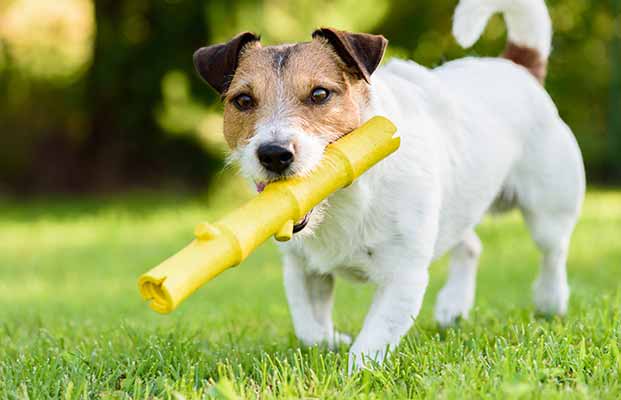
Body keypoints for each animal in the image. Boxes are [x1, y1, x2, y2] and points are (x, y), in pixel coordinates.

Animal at [194, 0, 588, 370]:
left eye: (320, 94)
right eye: (243, 100)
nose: (274, 154)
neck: (345, 197)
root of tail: (517, 68)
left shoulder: (404, 275)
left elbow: (370, 342)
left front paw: (350, 374)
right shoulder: (302, 269)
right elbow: (310, 329)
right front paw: (331, 342)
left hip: (548, 208)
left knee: (553, 252)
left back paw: (550, 302)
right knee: (470, 245)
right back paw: (453, 306)